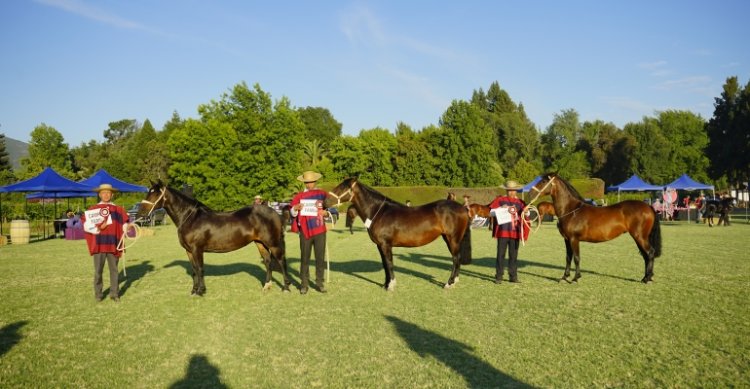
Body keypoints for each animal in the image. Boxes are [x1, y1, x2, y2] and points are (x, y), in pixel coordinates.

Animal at [140, 182, 292, 294]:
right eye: (149, 191)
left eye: (156, 193)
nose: (141, 212)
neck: (190, 217)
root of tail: (275, 213)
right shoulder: (189, 251)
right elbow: (194, 270)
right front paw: (194, 290)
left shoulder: (197, 249)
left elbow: (200, 269)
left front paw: (201, 291)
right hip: (260, 243)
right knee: (268, 261)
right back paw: (267, 286)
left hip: (273, 243)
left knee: (281, 261)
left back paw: (285, 287)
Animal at [328, 177, 470, 290]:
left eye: (342, 187)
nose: (325, 201)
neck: (379, 212)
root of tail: (462, 208)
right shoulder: (380, 245)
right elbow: (385, 264)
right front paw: (385, 284)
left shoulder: (386, 245)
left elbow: (389, 263)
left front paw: (391, 285)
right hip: (447, 238)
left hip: (453, 239)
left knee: (455, 258)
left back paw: (449, 283)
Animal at [536, 173, 664, 282]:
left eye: (543, 181)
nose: (533, 191)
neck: (571, 210)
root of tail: (648, 207)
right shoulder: (567, 239)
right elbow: (568, 257)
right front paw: (564, 277)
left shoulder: (574, 239)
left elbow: (576, 257)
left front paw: (576, 278)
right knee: (646, 255)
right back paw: (646, 277)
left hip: (640, 237)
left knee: (650, 253)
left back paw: (647, 279)